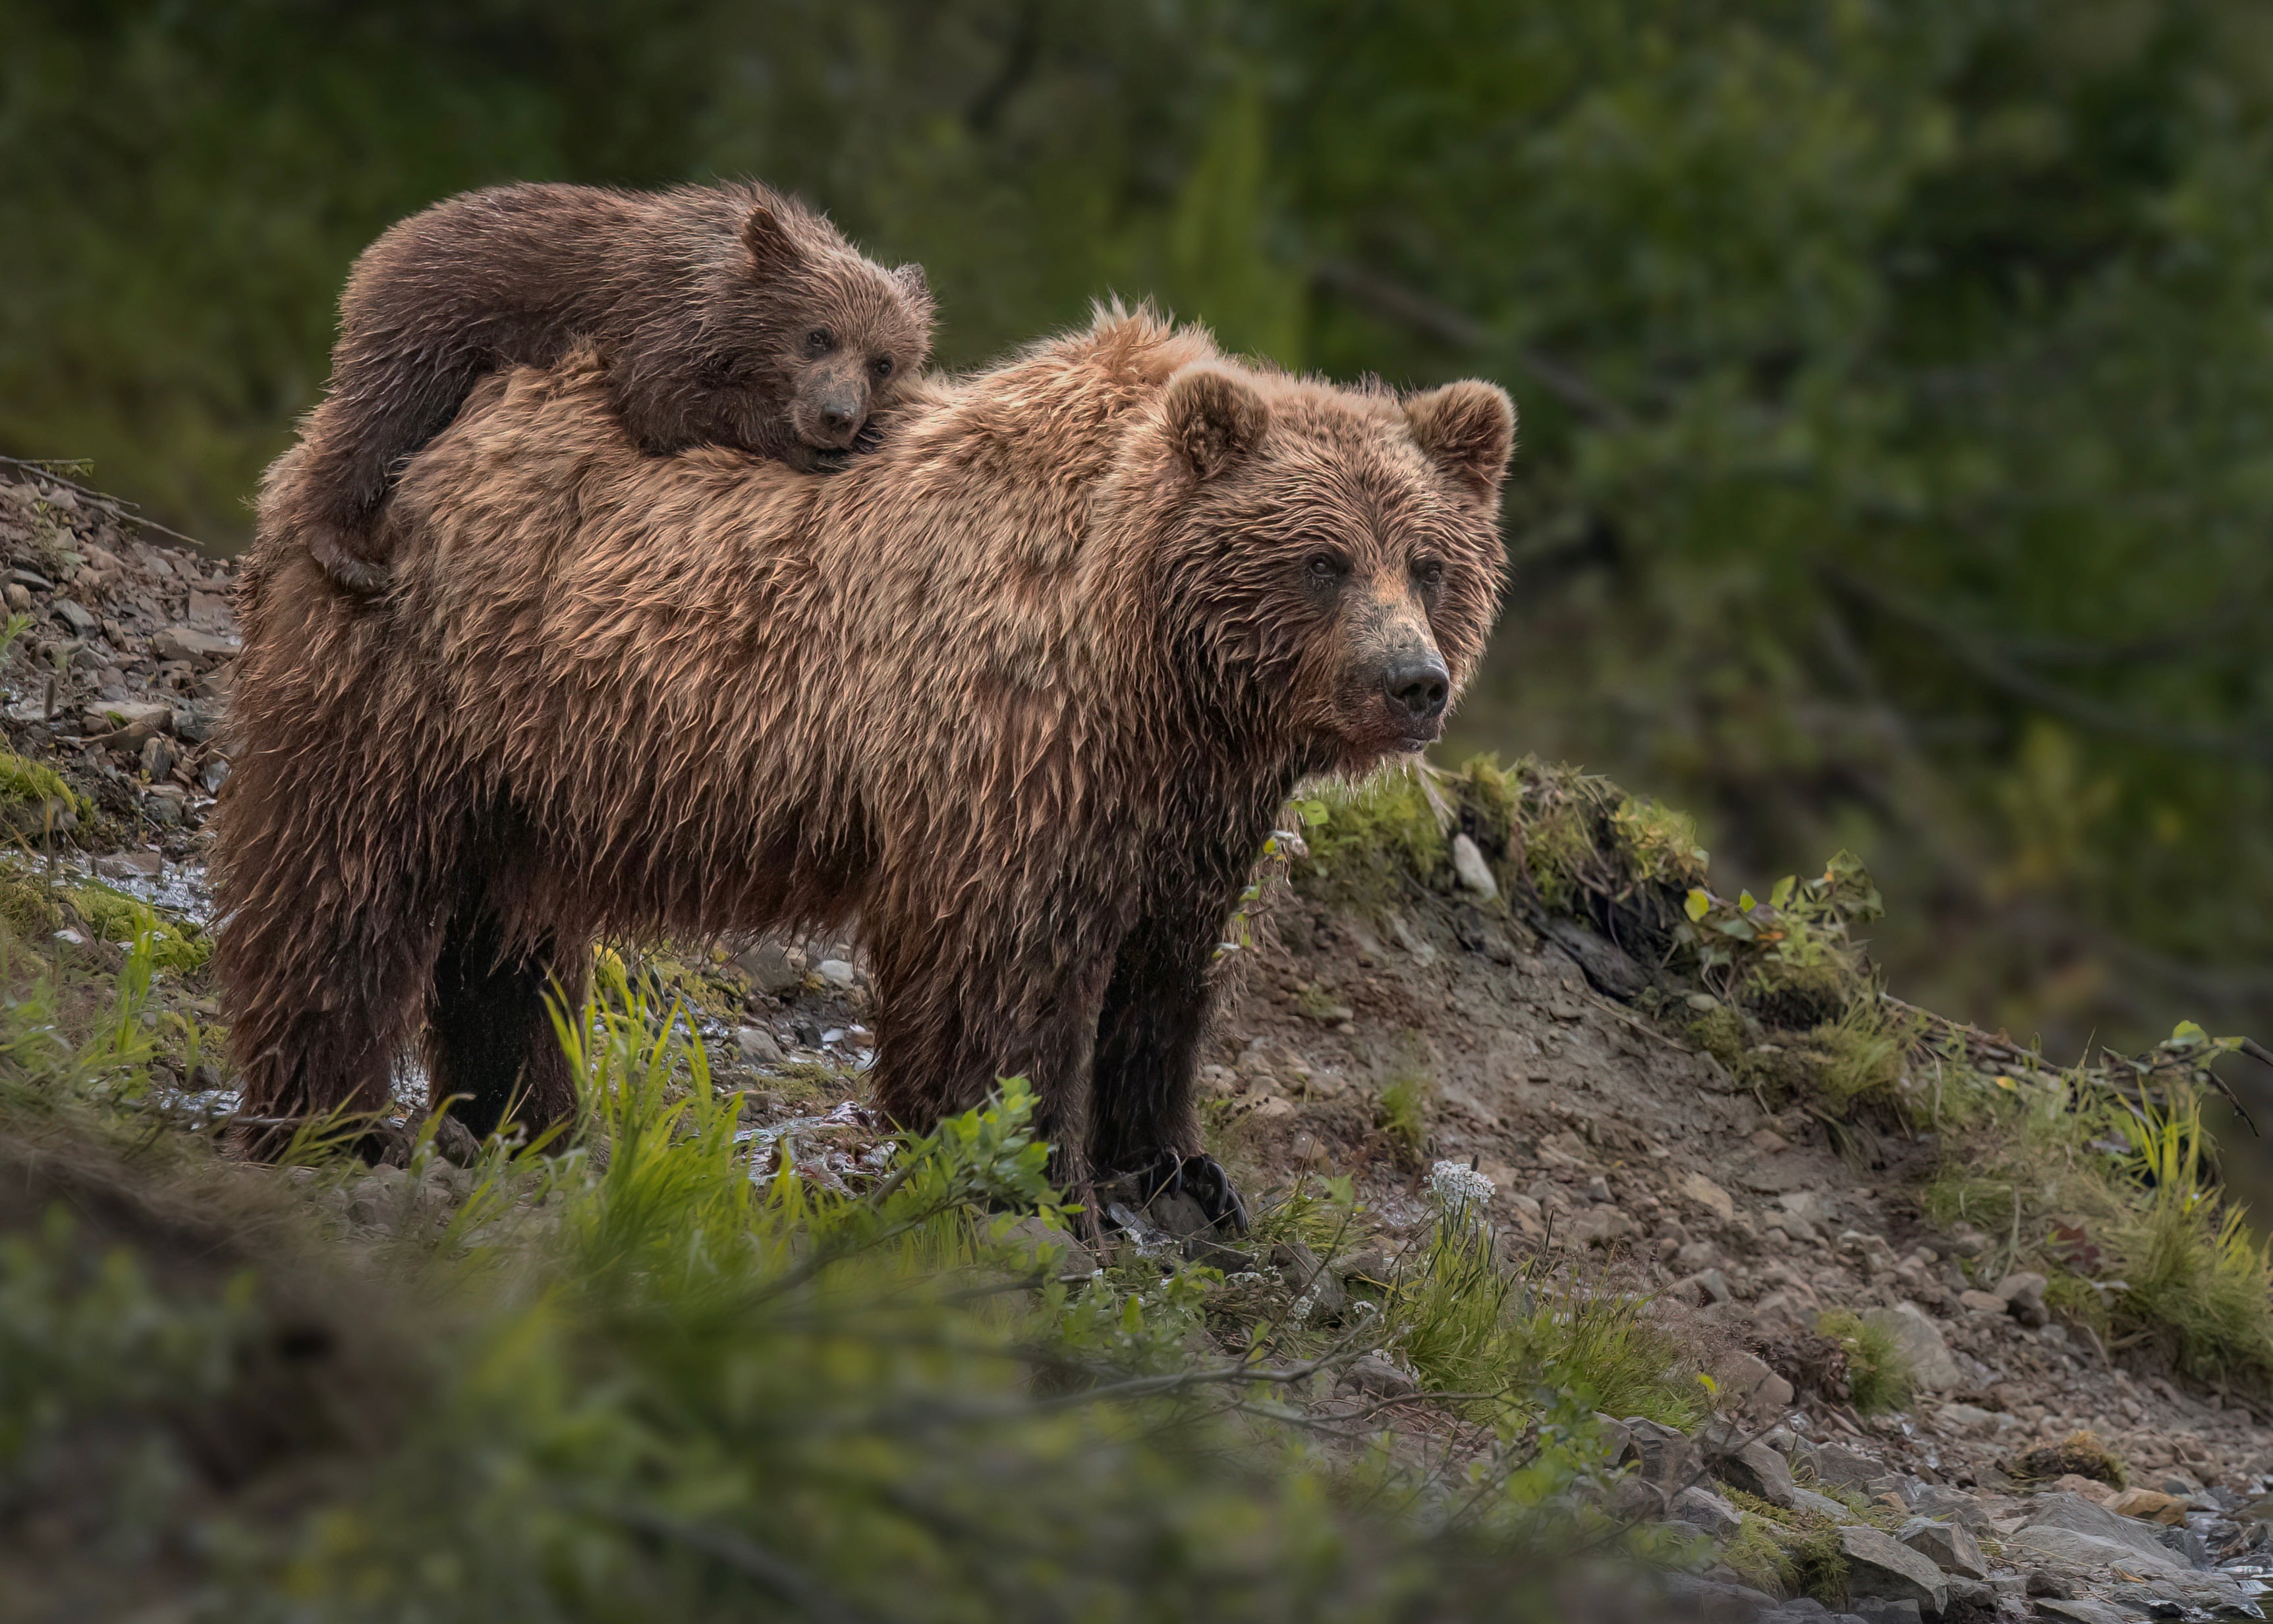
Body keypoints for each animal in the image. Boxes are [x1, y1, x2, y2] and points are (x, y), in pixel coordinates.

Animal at [217, 304, 1509, 1219]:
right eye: (1322, 562)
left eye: (1429, 561)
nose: (1412, 683)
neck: (1158, 667)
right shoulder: (1015, 747)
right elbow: (1003, 962)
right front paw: (1031, 1171)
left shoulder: (1191, 806)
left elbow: (1167, 975)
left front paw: (1183, 1174)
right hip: (411, 677)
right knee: (342, 884)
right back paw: (332, 1120)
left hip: (531, 761)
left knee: (506, 933)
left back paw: (525, 1122)